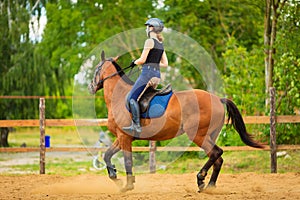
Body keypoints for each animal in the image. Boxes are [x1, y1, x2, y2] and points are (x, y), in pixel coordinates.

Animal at [88, 50, 264, 193]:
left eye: (96, 69)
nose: (90, 87)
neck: (119, 96)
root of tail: (218, 99)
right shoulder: (122, 137)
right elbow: (107, 155)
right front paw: (115, 176)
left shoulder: (124, 137)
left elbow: (127, 161)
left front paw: (127, 185)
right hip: (210, 135)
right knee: (218, 159)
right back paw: (210, 186)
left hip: (198, 135)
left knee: (216, 153)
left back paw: (201, 178)